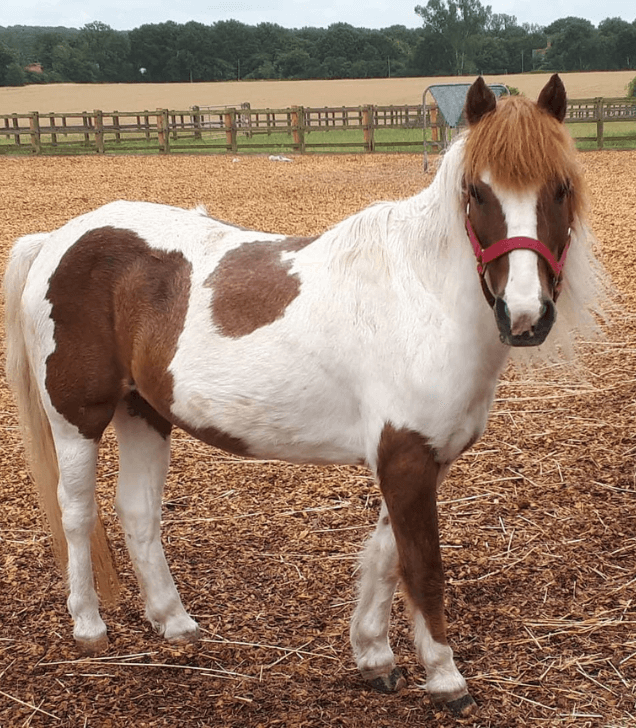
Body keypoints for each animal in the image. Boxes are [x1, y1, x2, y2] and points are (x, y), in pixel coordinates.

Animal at [3, 75, 609, 716]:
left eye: (561, 188)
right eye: (477, 192)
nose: (525, 315)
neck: (422, 297)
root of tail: (57, 239)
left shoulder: (420, 459)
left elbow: (386, 556)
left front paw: (375, 658)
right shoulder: (406, 458)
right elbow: (422, 568)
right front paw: (446, 680)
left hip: (143, 411)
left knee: (138, 511)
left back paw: (176, 624)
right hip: (77, 419)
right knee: (76, 514)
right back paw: (89, 627)